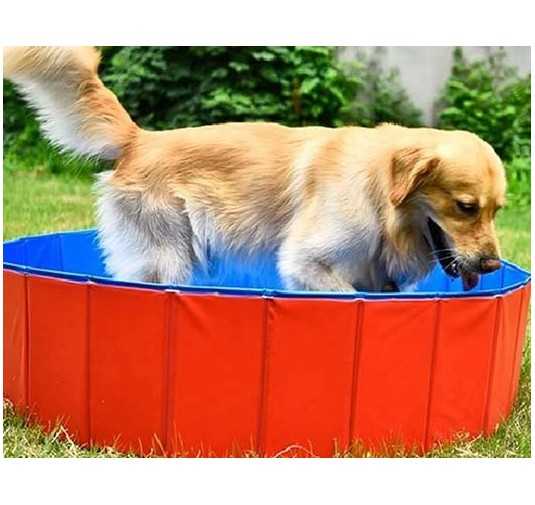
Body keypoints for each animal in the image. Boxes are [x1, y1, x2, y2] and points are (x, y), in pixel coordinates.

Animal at [3, 48, 506, 292]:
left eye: (496, 211)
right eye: (466, 207)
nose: (493, 265)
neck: (381, 195)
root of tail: (140, 139)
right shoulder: (307, 261)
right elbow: (344, 292)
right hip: (168, 259)